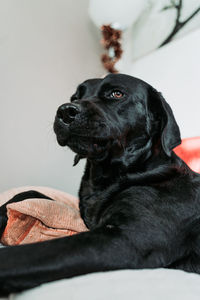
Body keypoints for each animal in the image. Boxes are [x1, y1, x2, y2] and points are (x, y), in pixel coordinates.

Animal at [0, 73, 200, 296]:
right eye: (75, 97)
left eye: (117, 94)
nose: (65, 111)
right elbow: (29, 192)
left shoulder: (125, 239)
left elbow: (24, 255)